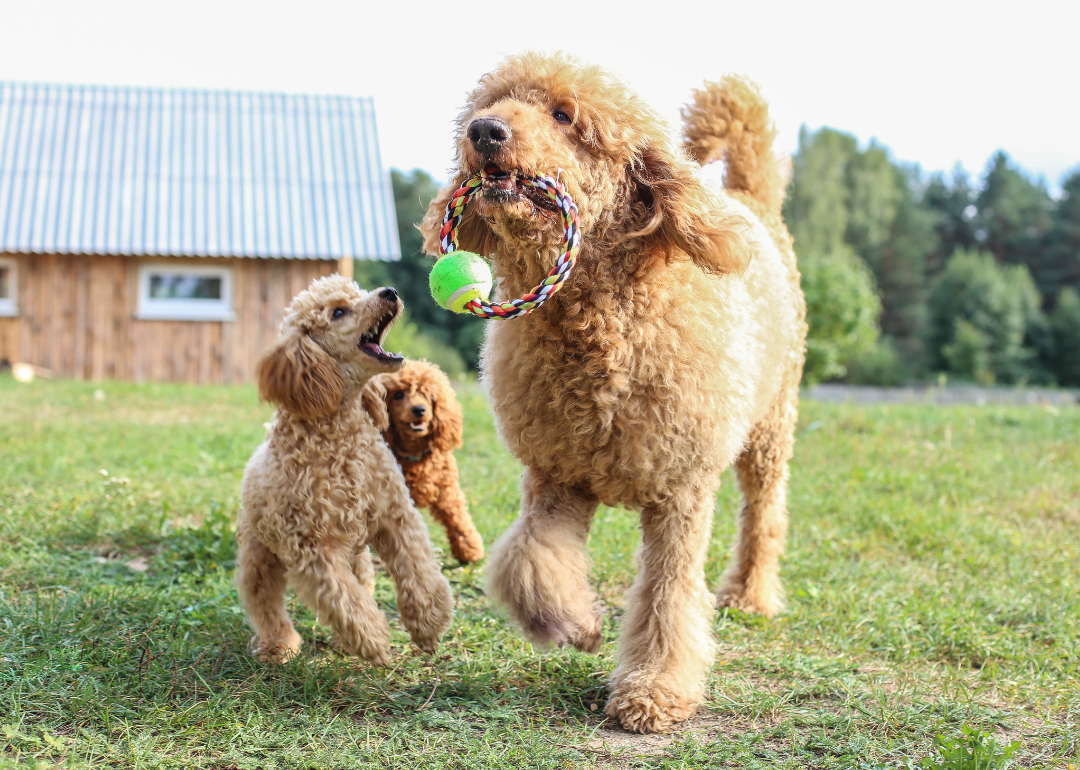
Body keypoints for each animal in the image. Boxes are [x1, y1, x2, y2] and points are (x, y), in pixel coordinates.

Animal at [234, 276, 453, 665]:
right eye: (338, 312)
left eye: (358, 293)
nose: (390, 292)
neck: (338, 437)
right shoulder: (311, 548)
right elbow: (344, 600)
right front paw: (375, 641)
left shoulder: (394, 515)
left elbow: (418, 569)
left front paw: (429, 623)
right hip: (259, 555)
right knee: (264, 602)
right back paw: (278, 645)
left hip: (358, 554)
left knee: (363, 581)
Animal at [369, 360, 488, 565]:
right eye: (398, 395)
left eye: (427, 394)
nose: (419, 409)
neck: (415, 453)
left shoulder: (446, 490)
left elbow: (458, 518)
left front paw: (469, 549)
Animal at [416, 55, 807, 734]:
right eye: (490, 102)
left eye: (564, 115)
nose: (484, 131)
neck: (598, 322)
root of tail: (751, 202)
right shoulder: (556, 473)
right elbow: (530, 560)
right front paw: (573, 624)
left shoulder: (681, 491)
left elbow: (668, 596)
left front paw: (653, 691)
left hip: (769, 428)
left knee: (764, 515)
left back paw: (749, 596)